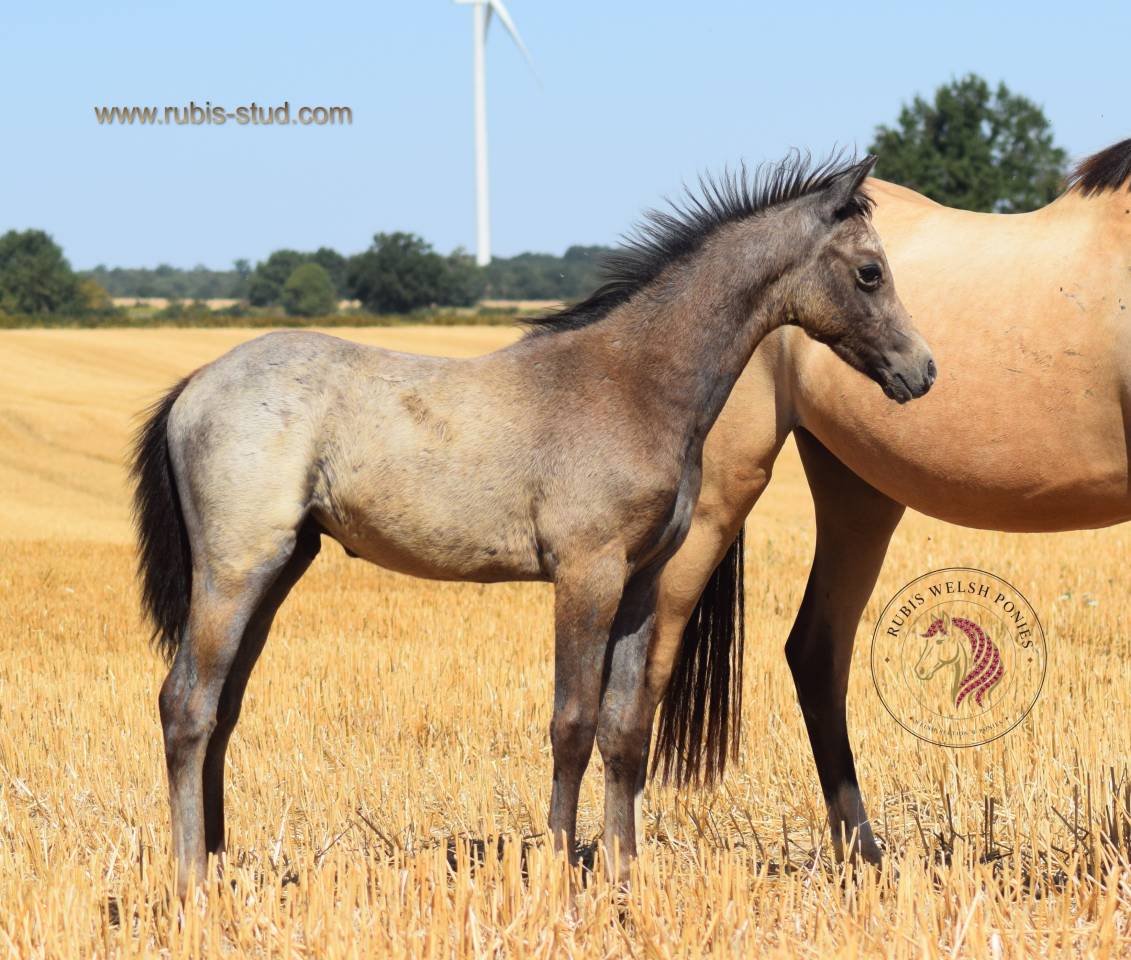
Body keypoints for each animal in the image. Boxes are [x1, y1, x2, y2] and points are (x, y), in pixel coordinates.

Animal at [131, 153, 936, 895]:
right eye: (870, 272)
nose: (921, 372)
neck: (631, 383)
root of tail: (194, 386)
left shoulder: (641, 582)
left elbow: (624, 728)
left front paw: (623, 874)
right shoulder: (587, 573)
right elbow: (571, 724)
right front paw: (556, 873)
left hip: (278, 570)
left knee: (223, 708)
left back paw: (218, 867)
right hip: (236, 571)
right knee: (186, 705)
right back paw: (189, 883)